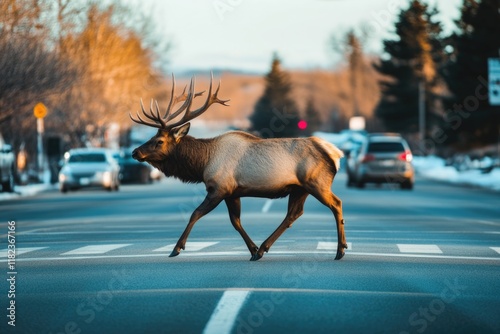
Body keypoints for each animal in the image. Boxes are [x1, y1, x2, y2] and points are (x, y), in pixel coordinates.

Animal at [130, 75, 348, 260]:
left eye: (159, 141)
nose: (135, 152)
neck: (202, 163)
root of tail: (335, 153)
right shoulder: (233, 193)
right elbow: (236, 222)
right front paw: (253, 250)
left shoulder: (219, 188)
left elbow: (195, 214)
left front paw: (176, 248)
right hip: (299, 188)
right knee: (293, 214)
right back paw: (263, 248)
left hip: (316, 182)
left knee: (336, 203)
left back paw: (340, 250)